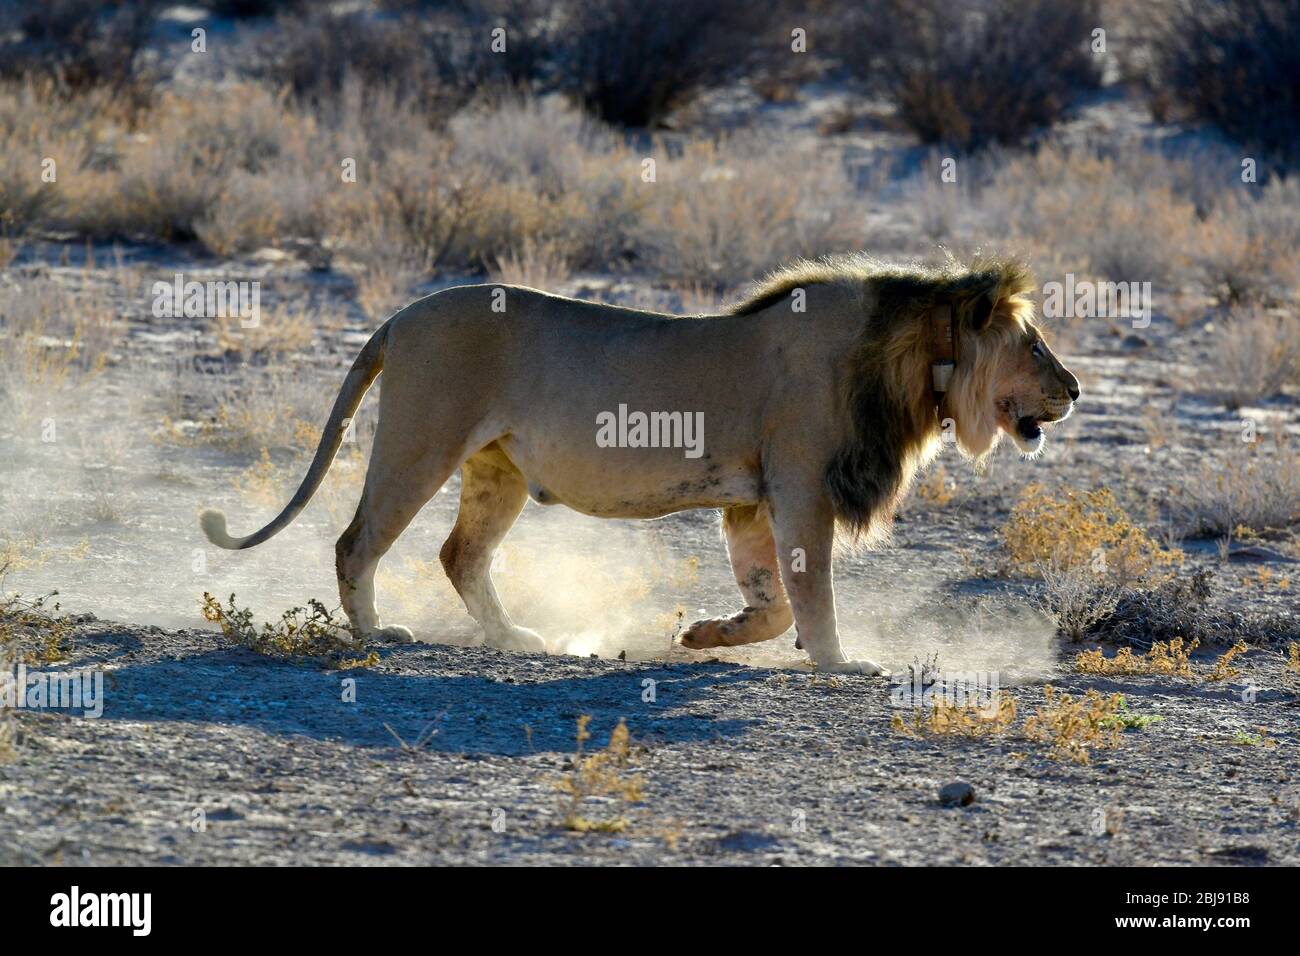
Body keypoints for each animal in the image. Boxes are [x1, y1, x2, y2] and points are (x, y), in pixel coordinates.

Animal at [200, 254, 1076, 671]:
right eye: (1033, 345)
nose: (1073, 388)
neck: (908, 367)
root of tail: (397, 315)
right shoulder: (801, 484)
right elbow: (812, 592)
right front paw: (840, 662)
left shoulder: (753, 501)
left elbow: (771, 599)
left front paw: (704, 635)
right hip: (422, 440)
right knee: (358, 542)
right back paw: (378, 633)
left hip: (496, 468)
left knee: (460, 554)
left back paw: (516, 638)